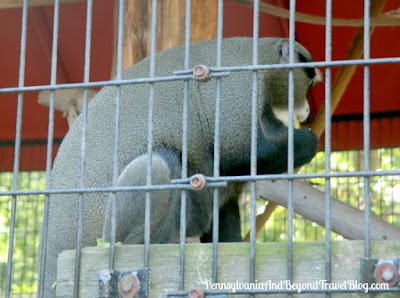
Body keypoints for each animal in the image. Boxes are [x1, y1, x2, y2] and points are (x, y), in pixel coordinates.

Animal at [41, 37, 318, 296]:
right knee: (160, 164)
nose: (306, 110)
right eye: (307, 85)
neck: (263, 62)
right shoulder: (238, 96)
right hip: (104, 238)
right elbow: (248, 150)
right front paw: (308, 141)